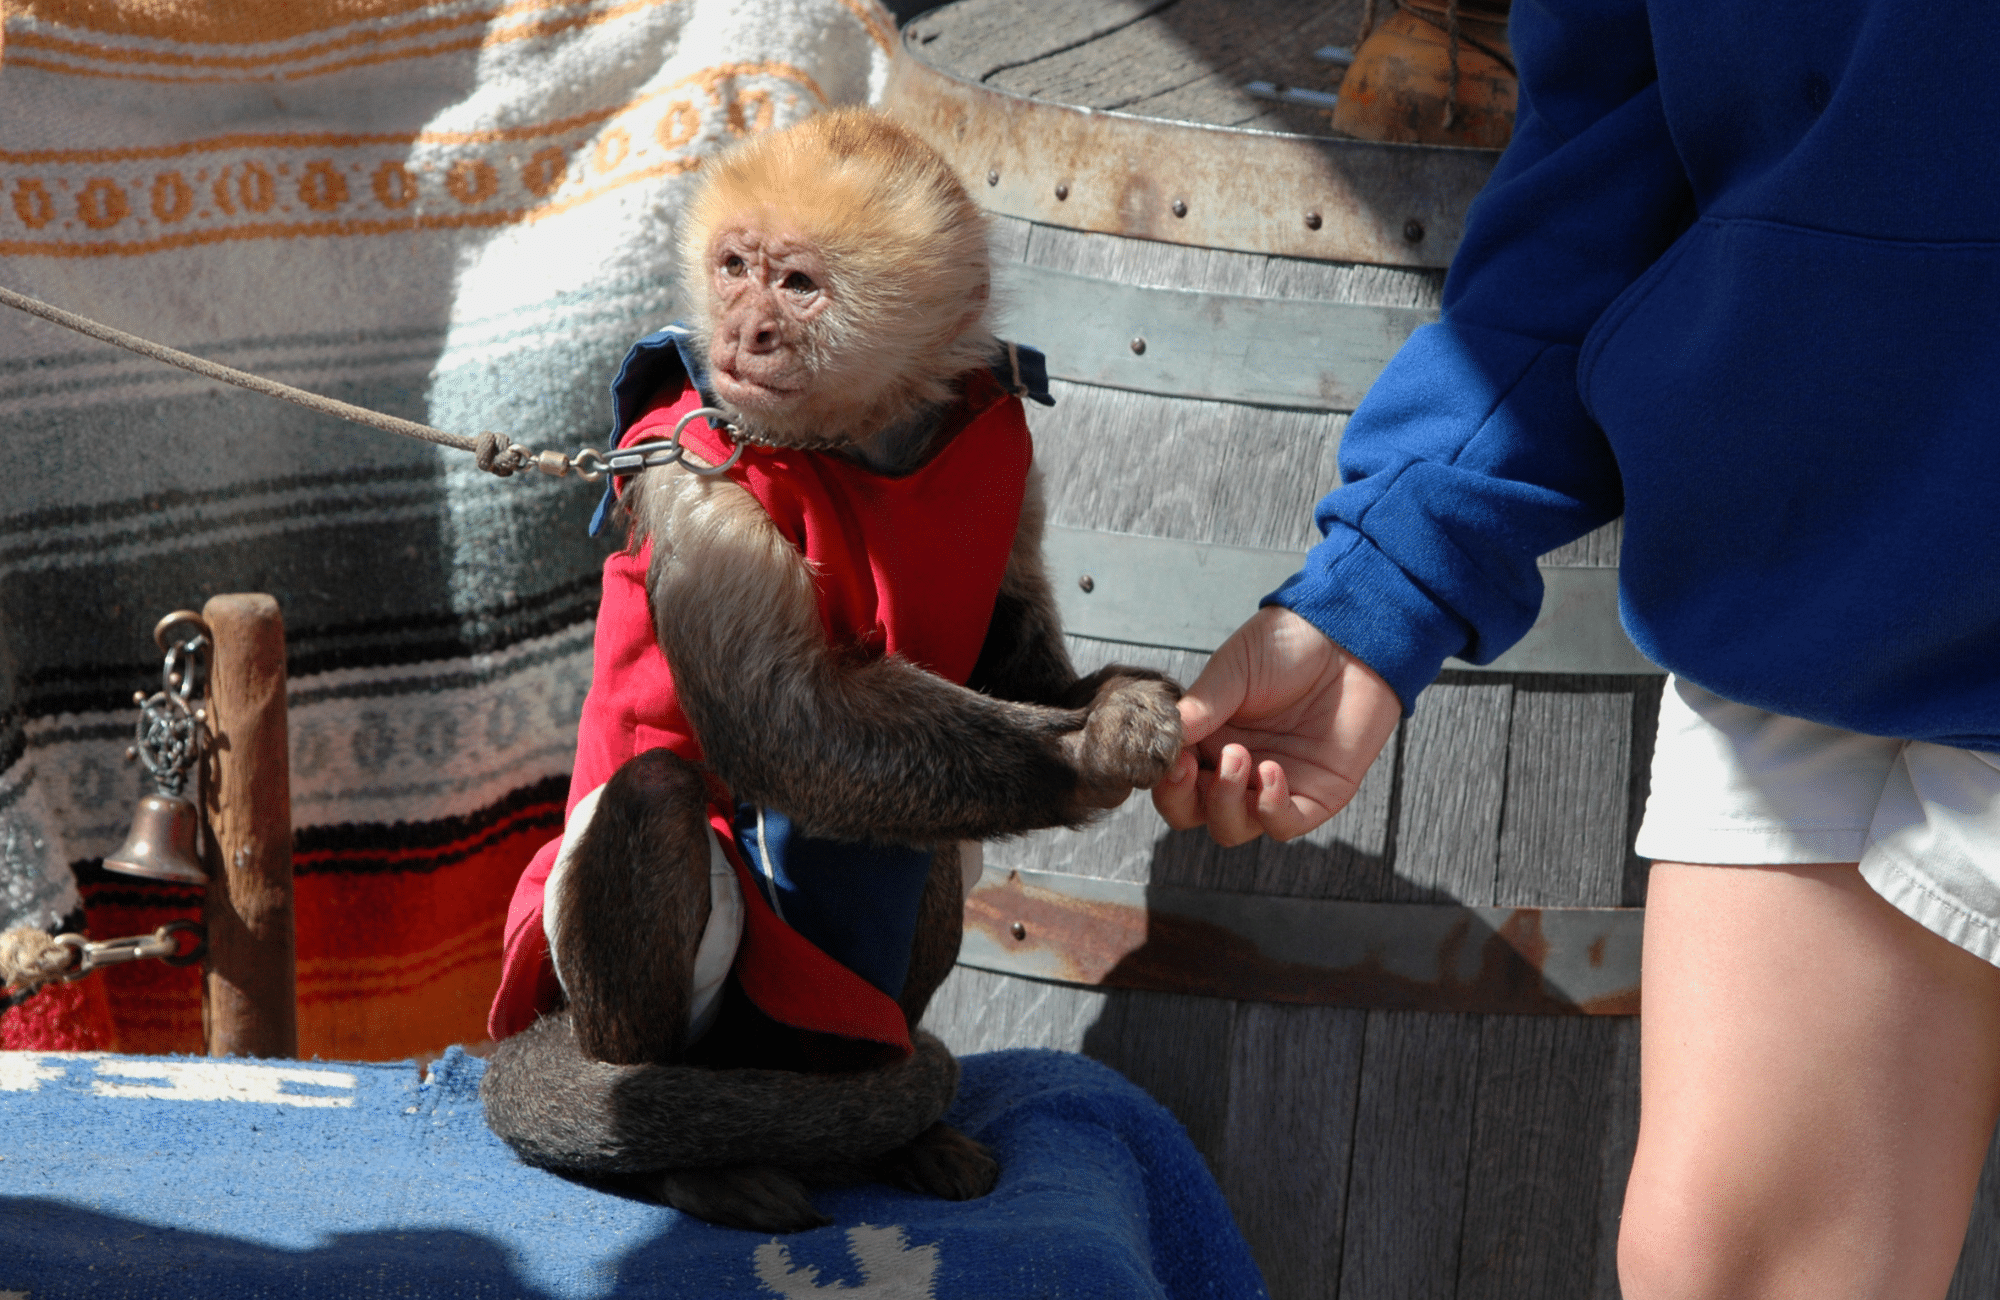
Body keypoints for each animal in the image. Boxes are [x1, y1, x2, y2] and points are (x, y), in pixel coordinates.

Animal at [480, 108, 1184, 1234]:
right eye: (735, 269)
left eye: (798, 285)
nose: (746, 333)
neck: (854, 445)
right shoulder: (689, 457)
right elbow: (779, 723)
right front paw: (1089, 759)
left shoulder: (1011, 455)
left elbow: (1014, 661)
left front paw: (1114, 703)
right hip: (584, 985)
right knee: (658, 797)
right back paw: (671, 1153)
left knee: (919, 847)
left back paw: (891, 1128)